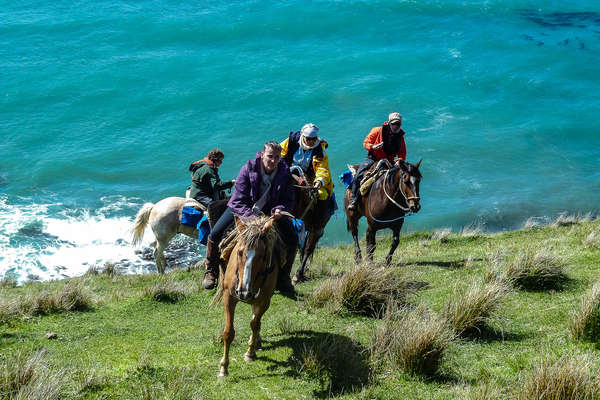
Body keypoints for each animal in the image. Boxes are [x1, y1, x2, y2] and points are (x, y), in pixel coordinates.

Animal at [219, 214, 288, 376]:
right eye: (239, 252)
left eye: (262, 256)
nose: (243, 292)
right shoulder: (228, 297)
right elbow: (228, 332)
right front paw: (224, 368)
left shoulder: (264, 301)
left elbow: (254, 324)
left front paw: (250, 353)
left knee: (256, 321)